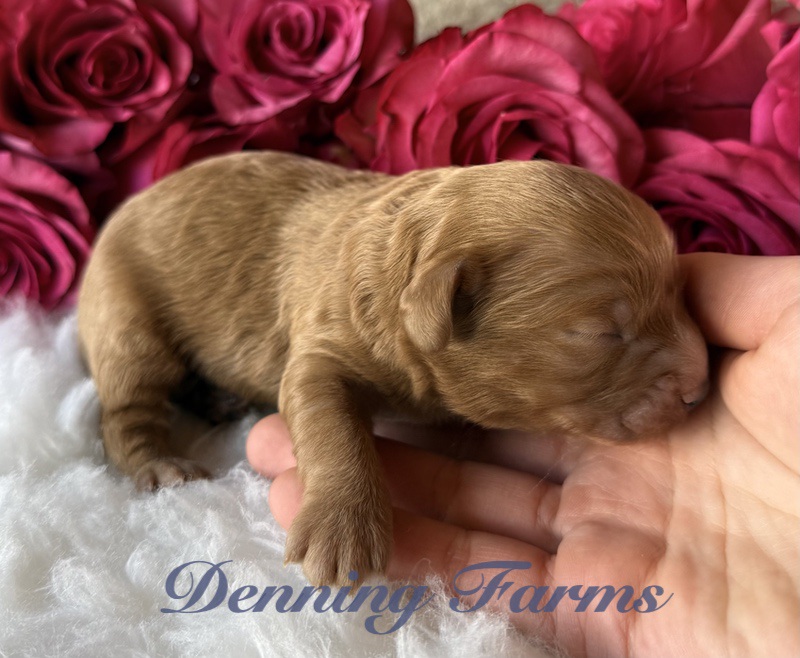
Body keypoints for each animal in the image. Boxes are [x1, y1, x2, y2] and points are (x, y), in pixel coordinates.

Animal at [77, 152, 708, 586]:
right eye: (602, 334)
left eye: (678, 293)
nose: (701, 385)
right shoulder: (324, 346)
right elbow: (332, 425)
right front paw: (341, 529)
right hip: (126, 315)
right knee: (125, 409)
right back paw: (160, 465)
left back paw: (218, 399)